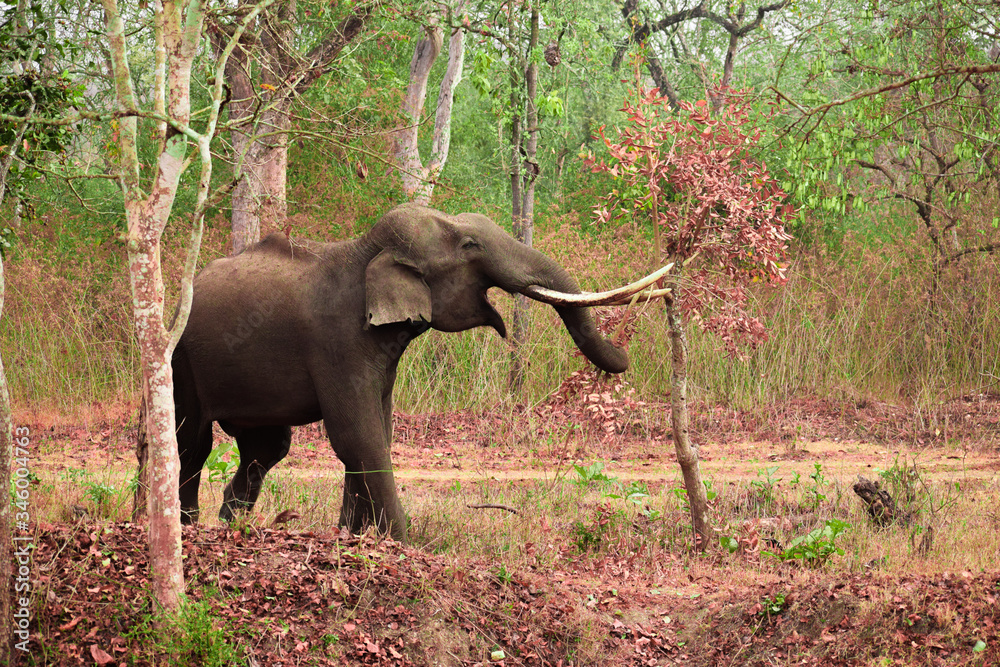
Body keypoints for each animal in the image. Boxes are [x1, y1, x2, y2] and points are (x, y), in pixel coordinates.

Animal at [174, 203, 658, 541]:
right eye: (469, 245)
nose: (625, 354)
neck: (363, 252)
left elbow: (377, 432)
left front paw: (352, 537)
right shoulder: (335, 343)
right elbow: (357, 434)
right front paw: (401, 544)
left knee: (266, 446)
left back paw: (230, 525)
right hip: (181, 361)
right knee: (191, 444)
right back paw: (188, 527)